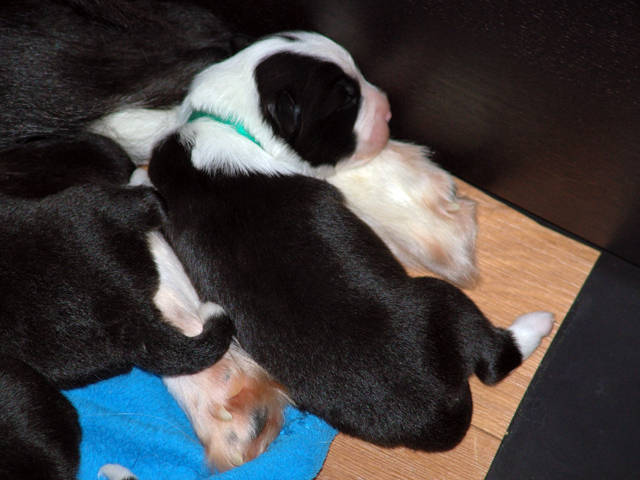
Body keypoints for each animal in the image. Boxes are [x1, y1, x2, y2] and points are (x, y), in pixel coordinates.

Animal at [143, 30, 554, 453]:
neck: (233, 121)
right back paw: (538, 322)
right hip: (442, 303)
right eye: (347, 101)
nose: (388, 111)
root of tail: (437, 409)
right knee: (494, 356)